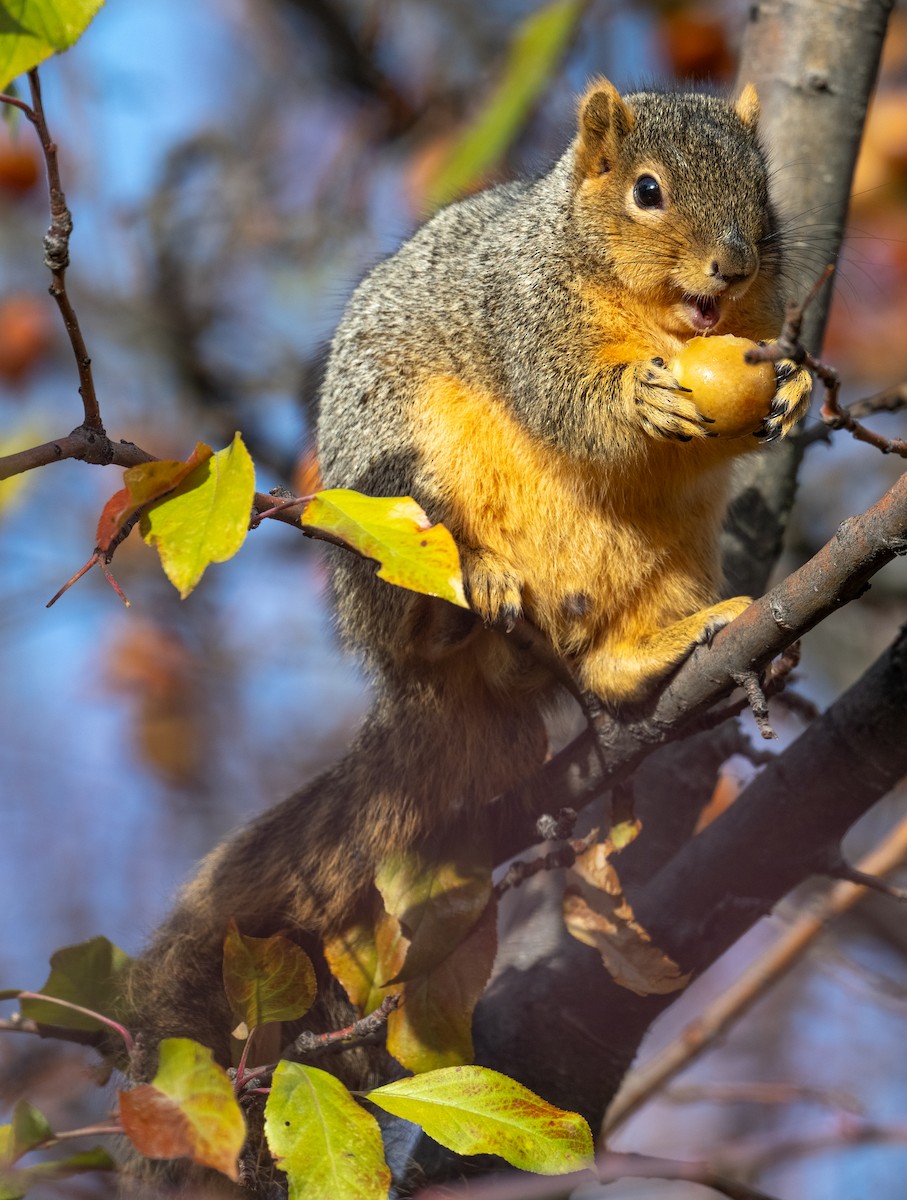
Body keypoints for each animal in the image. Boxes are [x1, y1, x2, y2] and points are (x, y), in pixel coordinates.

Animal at [125, 79, 811, 1080]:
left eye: (763, 192)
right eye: (645, 191)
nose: (730, 266)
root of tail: (417, 690)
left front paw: (795, 388)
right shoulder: (524, 317)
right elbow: (568, 401)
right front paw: (637, 398)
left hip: (674, 560)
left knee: (606, 666)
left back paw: (666, 645)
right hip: (395, 497)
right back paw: (464, 601)